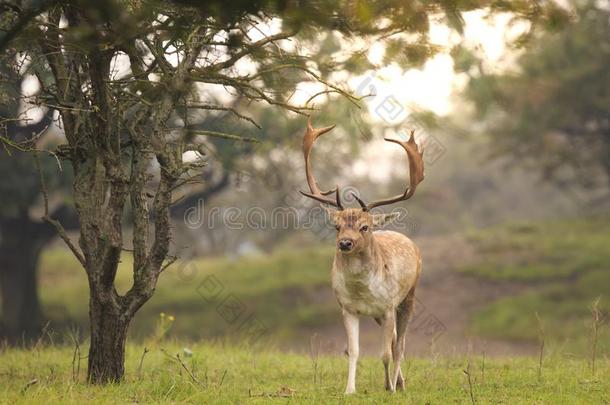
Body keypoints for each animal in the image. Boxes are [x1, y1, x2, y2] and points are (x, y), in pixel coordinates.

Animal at [300, 118, 422, 392]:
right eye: (337, 226)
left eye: (364, 227)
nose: (345, 243)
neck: (361, 290)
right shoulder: (348, 308)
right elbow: (353, 351)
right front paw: (349, 390)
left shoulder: (387, 306)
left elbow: (385, 354)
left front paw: (389, 388)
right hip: (379, 314)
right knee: (395, 340)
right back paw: (400, 382)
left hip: (408, 296)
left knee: (400, 345)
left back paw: (398, 385)